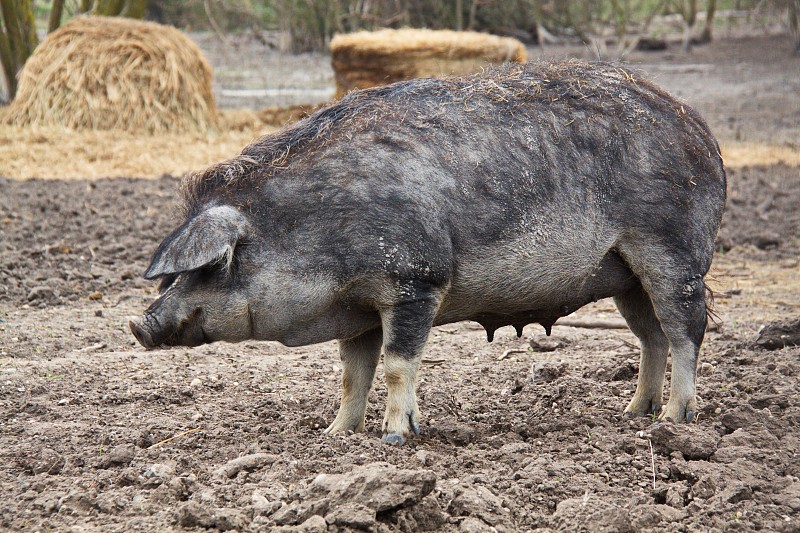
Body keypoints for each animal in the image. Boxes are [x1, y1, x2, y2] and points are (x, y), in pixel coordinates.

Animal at [130, 60, 724, 444]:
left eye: (213, 266)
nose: (139, 324)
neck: (313, 227)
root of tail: (698, 126)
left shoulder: (415, 281)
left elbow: (397, 364)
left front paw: (395, 439)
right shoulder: (358, 309)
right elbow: (352, 373)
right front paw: (334, 435)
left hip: (672, 250)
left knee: (686, 329)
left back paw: (674, 422)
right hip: (625, 273)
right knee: (650, 335)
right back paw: (632, 415)